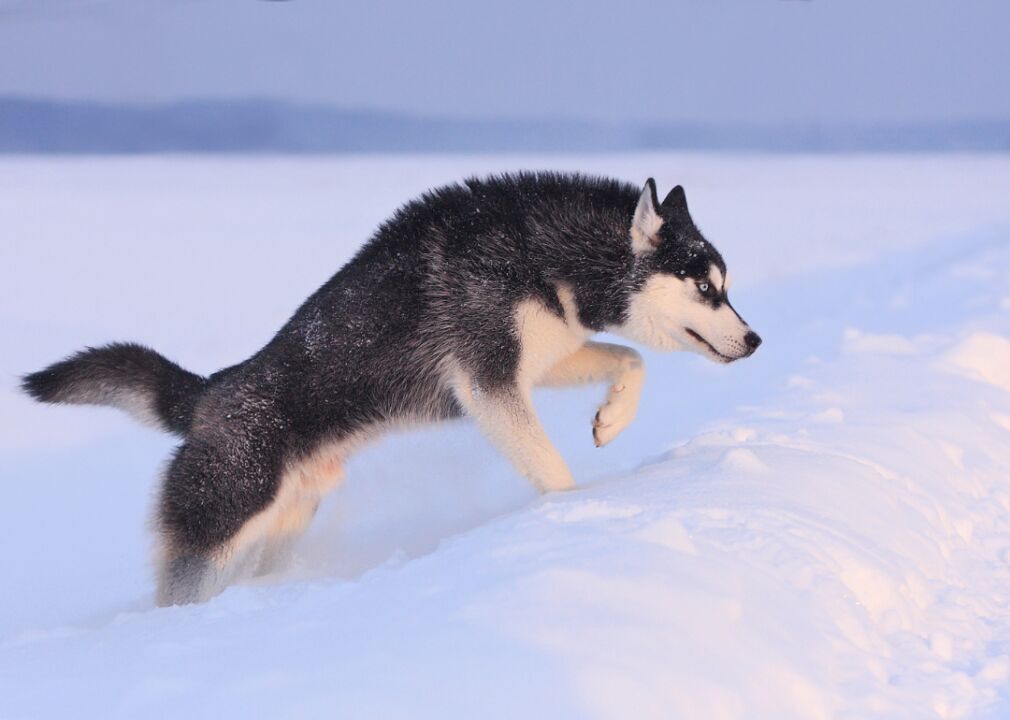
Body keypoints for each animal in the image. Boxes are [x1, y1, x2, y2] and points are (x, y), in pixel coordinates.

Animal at [21, 172, 759, 601]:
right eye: (705, 287)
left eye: (725, 287)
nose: (755, 340)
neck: (542, 251)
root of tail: (209, 393)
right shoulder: (488, 379)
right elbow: (552, 468)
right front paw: (583, 513)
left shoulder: (537, 360)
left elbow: (630, 360)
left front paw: (612, 419)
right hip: (219, 524)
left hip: (281, 526)